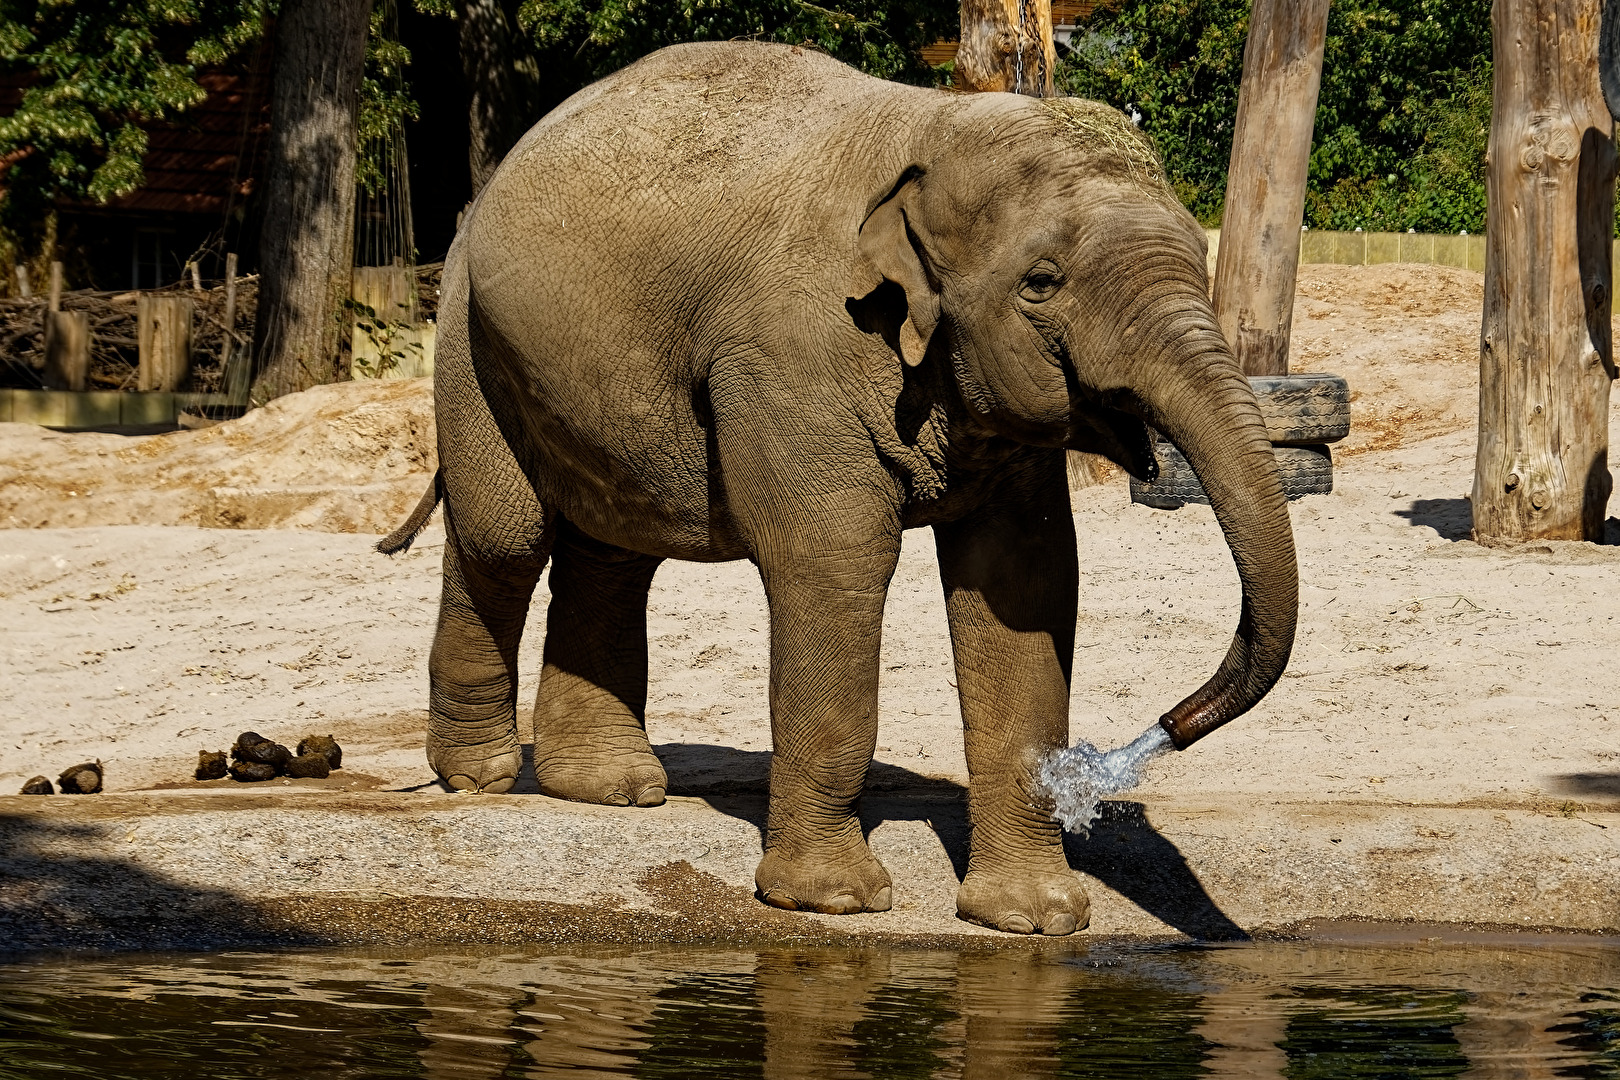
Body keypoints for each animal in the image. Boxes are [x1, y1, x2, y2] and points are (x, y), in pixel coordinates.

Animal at [379, 40, 1299, 935]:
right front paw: (832, 901)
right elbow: (836, 562)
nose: (1169, 725)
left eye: (1199, 263)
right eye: (1041, 282)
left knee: (614, 544)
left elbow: (1024, 587)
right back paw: (481, 775)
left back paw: (609, 788)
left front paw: (1035, 921)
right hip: (467, 334)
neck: (935, 128)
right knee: (505, 536)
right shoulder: (794, 355)